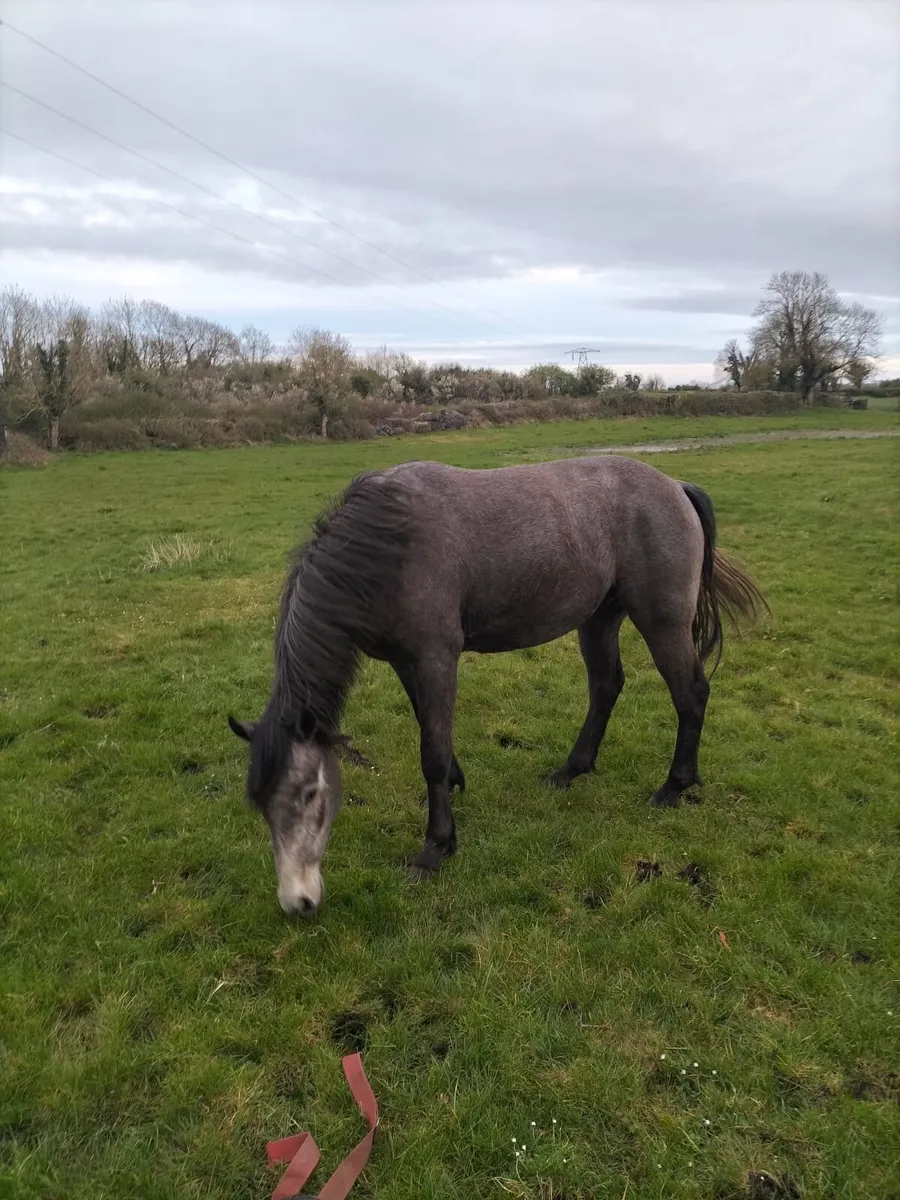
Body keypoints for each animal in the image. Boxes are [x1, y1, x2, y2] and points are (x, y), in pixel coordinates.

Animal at [229, 455, 766, 915]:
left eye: (309, 794)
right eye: (260, 802)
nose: (297, 902)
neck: (388, 545)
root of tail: (675, 486)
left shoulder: (436, 658)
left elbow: (432, 751)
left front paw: (435, 847)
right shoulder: (407, 662)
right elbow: (430, 729)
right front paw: (455, 789)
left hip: (662, 621)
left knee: (690, 694)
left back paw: (674, 787)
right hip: (599, 618)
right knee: (606, 686)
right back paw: (571, 770)